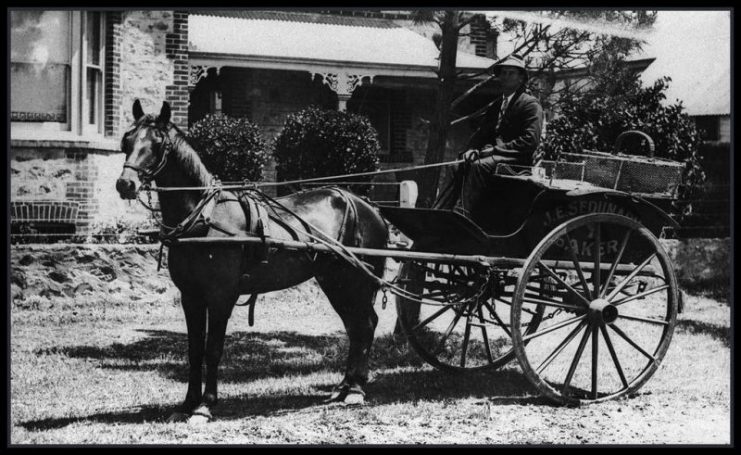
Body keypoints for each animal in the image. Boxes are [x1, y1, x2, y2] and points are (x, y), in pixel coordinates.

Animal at [114, 100, 388, 424]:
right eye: (127, 140)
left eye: (157, 144)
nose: (125, 184)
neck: (205, 218)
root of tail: (367, 207)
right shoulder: (190, 296)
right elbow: (194, 350)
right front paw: (187, 403)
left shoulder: (221, 295)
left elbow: (213, 349)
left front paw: (205, 406)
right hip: (336, 282)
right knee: (356, 326)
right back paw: (344, 387)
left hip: (356, 281)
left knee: (366, 324)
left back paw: (356, 390)